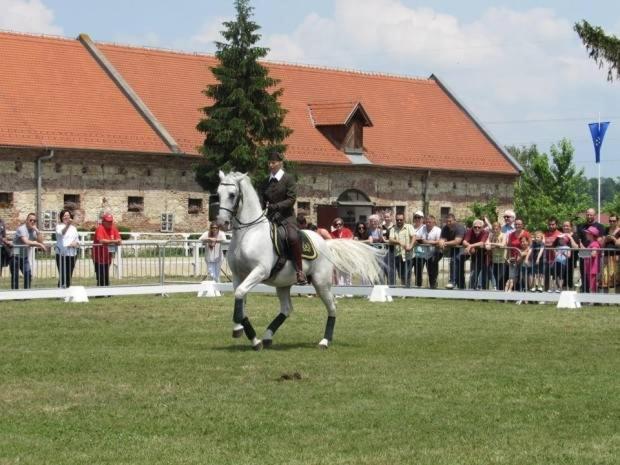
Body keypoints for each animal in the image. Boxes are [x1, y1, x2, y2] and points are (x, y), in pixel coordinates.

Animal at [216, 170, 386, 348]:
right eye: (218, 194)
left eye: (232, 194)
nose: (221, 222)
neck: (249, 232)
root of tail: (325, 242)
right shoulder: (238, 275)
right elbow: (240, 298)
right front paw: (240, 330)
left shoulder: (259, 271)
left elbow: (240, 294)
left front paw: (253, 339)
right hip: (283, 284)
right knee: (286, 309)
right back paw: (268, 336)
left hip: (321, 282)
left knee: (332, 307)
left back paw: (325, 341)